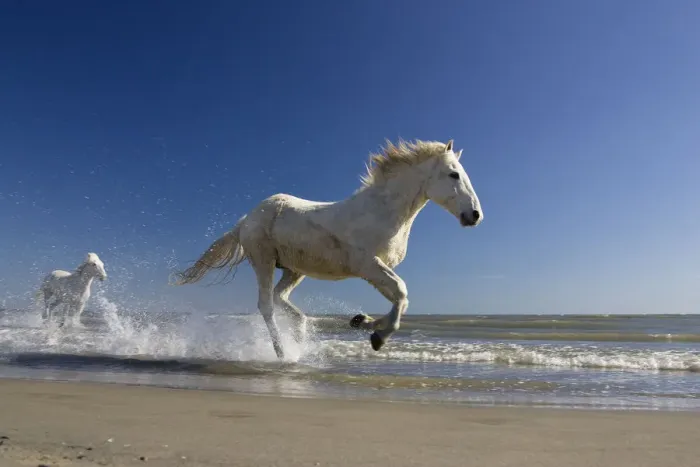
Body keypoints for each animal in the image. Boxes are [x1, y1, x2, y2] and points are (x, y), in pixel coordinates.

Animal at [173, 139, 483, 359]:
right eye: (454, 175)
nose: (475, 215)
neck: (381, 211)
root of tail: (246, 219)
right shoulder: (368, 265)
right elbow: (402, 292)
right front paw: (377, 337)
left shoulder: (376, 268)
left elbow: (400, 299)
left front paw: (361, 322)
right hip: (263, 259)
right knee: (266, 305)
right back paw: (282, 353)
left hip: (294, 269)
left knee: (279, 298)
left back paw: (299, 338)